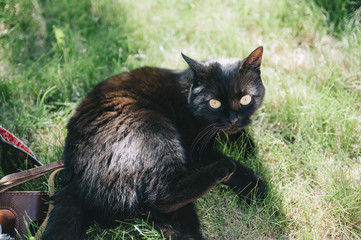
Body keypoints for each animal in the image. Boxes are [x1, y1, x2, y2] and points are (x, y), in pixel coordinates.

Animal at [43, 46, 266, 239]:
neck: (187, 92)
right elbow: (232, 163)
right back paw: (224, 168)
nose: (232, 119)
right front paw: (254, 185)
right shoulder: (197, 150)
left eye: (246, 99)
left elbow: (238, 135)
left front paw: (247, 145)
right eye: (214, 103)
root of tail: (74, 181)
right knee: (162, 196)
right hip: (153, 127)